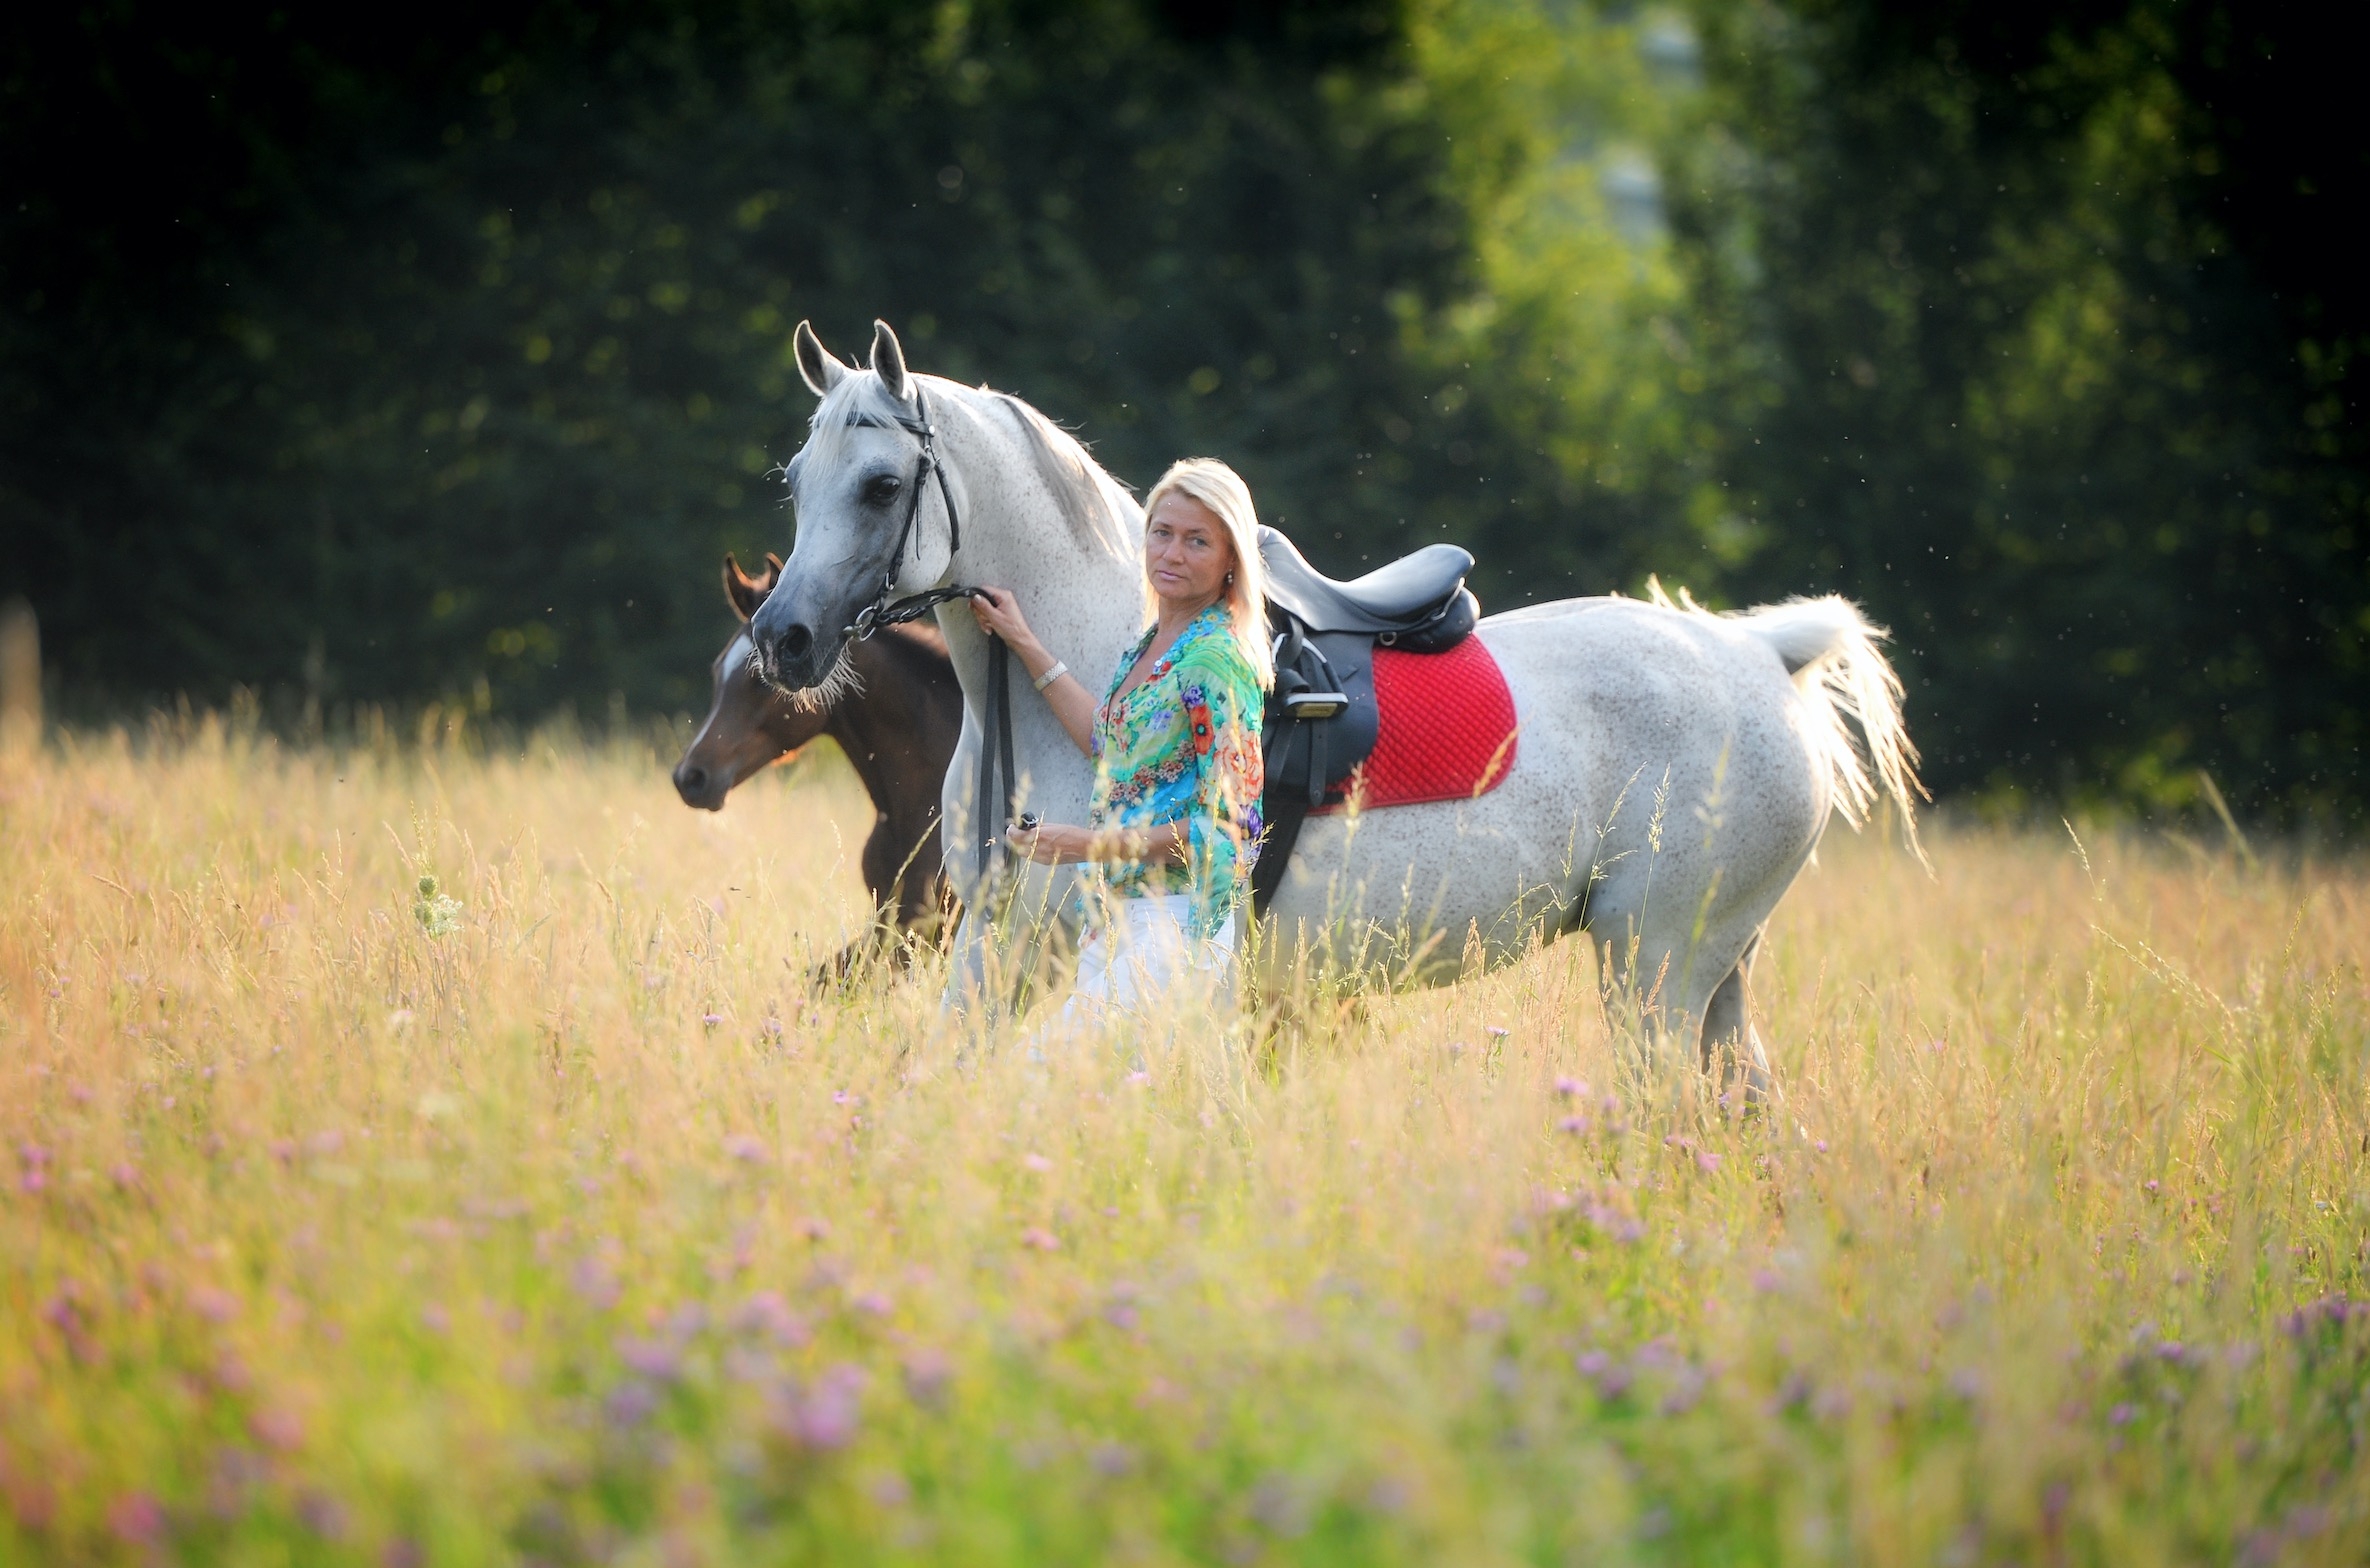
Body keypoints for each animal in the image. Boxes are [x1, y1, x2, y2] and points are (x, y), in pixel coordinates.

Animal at [750, 321, 1922, 1079]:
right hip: (1713, 973)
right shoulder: (997, 942)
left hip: (1656, 968)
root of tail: (1763, 652)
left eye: (882, 486)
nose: (782, 638)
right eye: (797, 481)